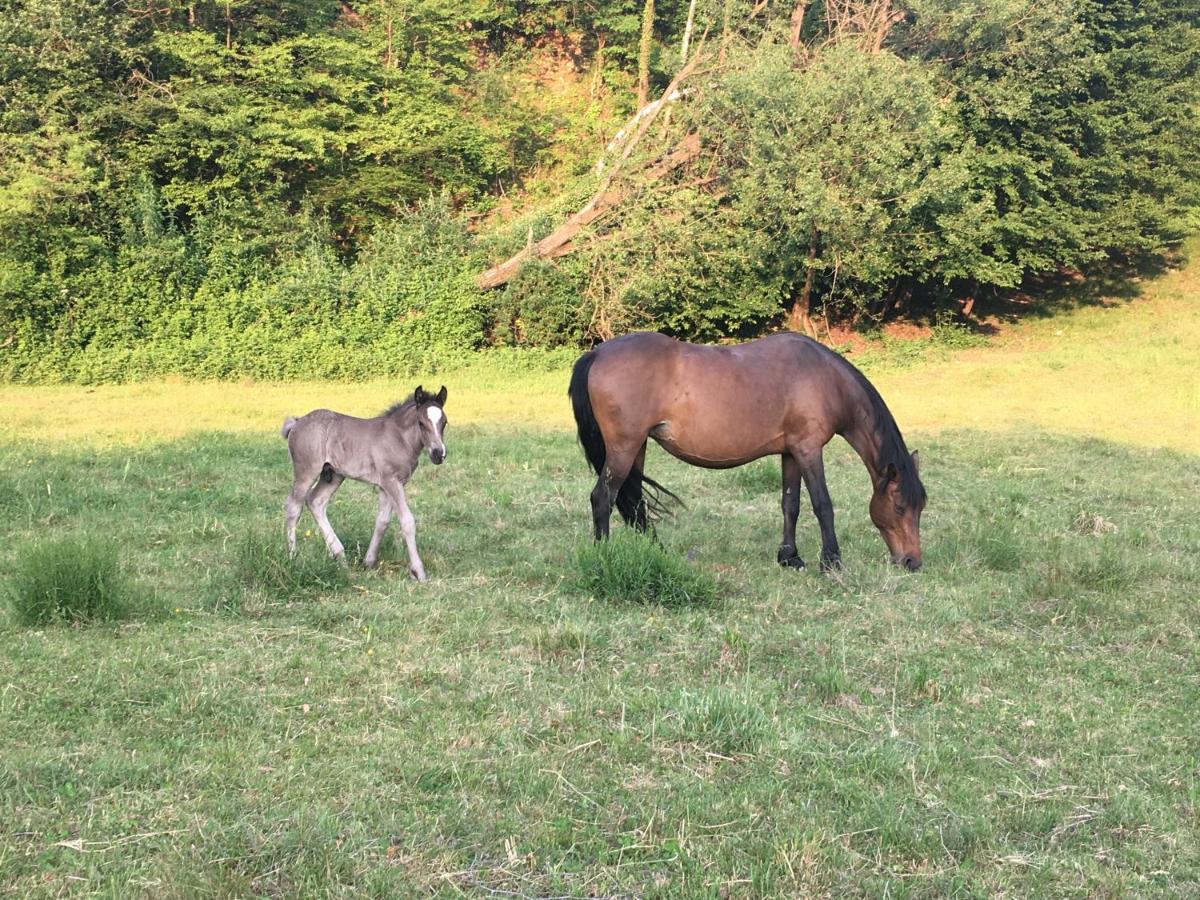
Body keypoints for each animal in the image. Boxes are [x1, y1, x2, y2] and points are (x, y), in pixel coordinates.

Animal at [282, 384, 451, 580]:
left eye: (444, 422)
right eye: (421, 423)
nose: (438, 454)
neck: (399, 438)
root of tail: (297, 422)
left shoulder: (388, 485)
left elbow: (382, 521)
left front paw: (368, 562)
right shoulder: (391, 481)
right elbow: (407, 521)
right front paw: (419, 572)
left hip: (333, 475)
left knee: (316, 501)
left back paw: (338, 555)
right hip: (306, 471)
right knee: (293, 507)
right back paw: (293, 557)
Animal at [571, 331, 926, 571]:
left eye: (920, 507)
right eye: (898, 507)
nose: (912, 562)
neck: (825, 379)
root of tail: (596, 354)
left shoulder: (791, 453)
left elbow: (790, 505)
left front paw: (790, 557)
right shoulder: (809, 450)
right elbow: (822, 505)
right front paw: (832, 562)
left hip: (638, 448)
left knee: (634, 503)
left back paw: (658, 553)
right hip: (624, 448)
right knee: (603, 498)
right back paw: (603, 555)